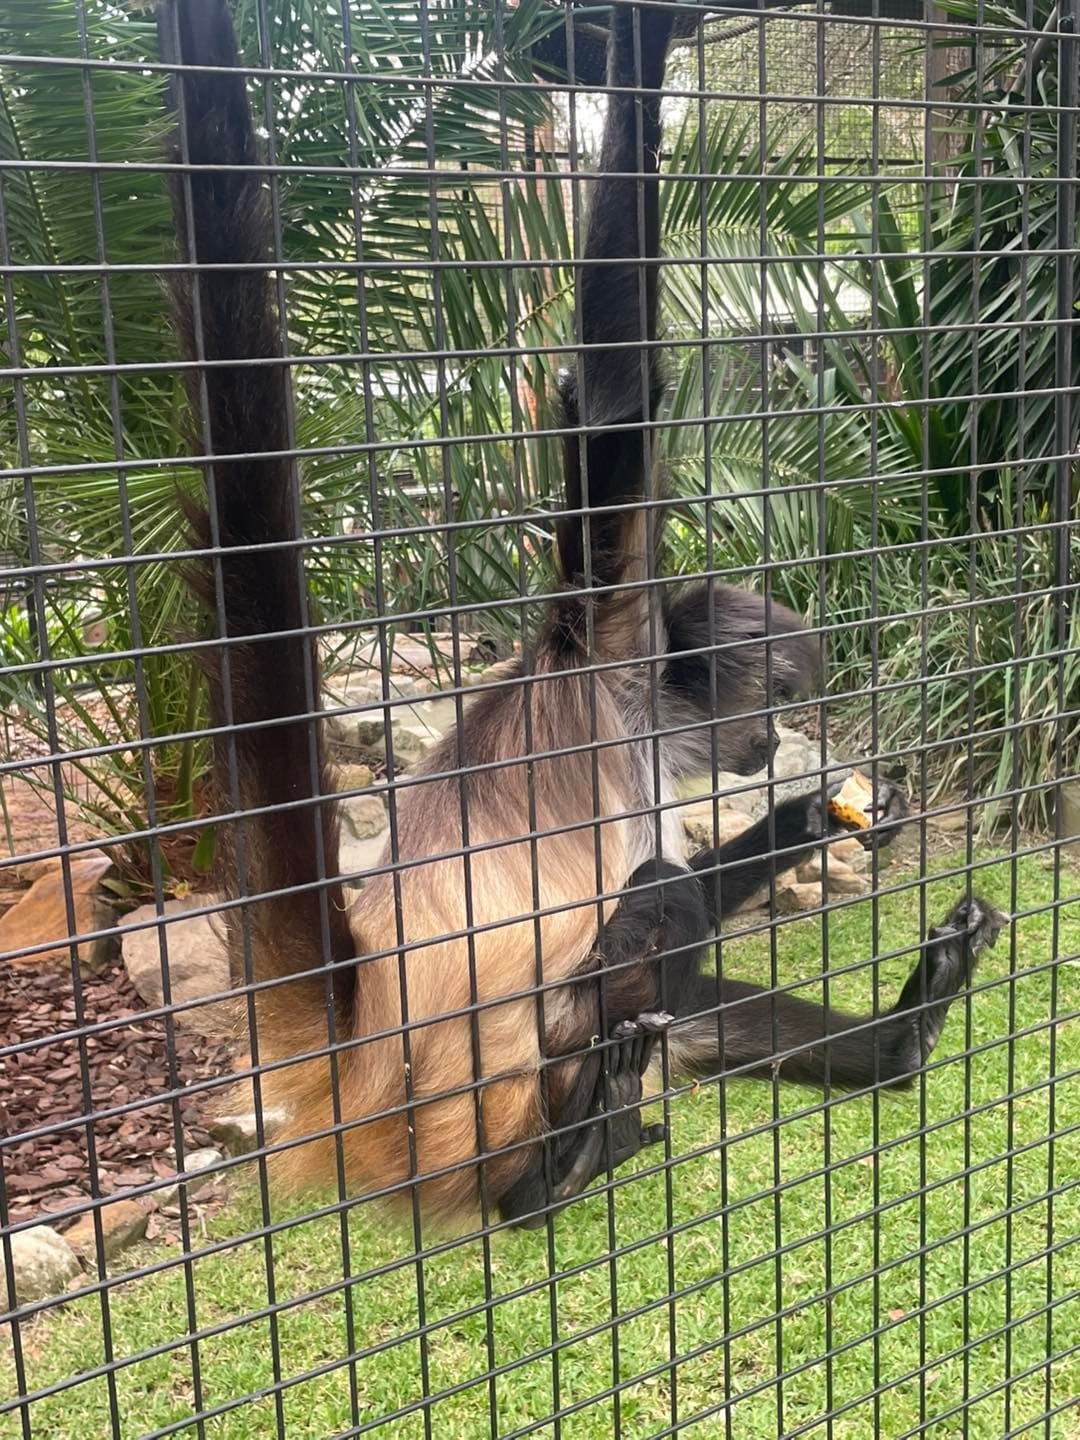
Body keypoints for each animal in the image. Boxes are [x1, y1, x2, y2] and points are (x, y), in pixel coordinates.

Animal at [158, 0, 1008, 1226]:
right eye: (780, 700)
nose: (769, 746)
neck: (640, 707)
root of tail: (359, 1069)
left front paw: (820, 819)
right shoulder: (607, 628)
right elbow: (610, 409)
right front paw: (644, 48)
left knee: (680, 992)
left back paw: (898, 1042)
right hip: (497, 1090)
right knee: (655, 908)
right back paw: (548, 1176)